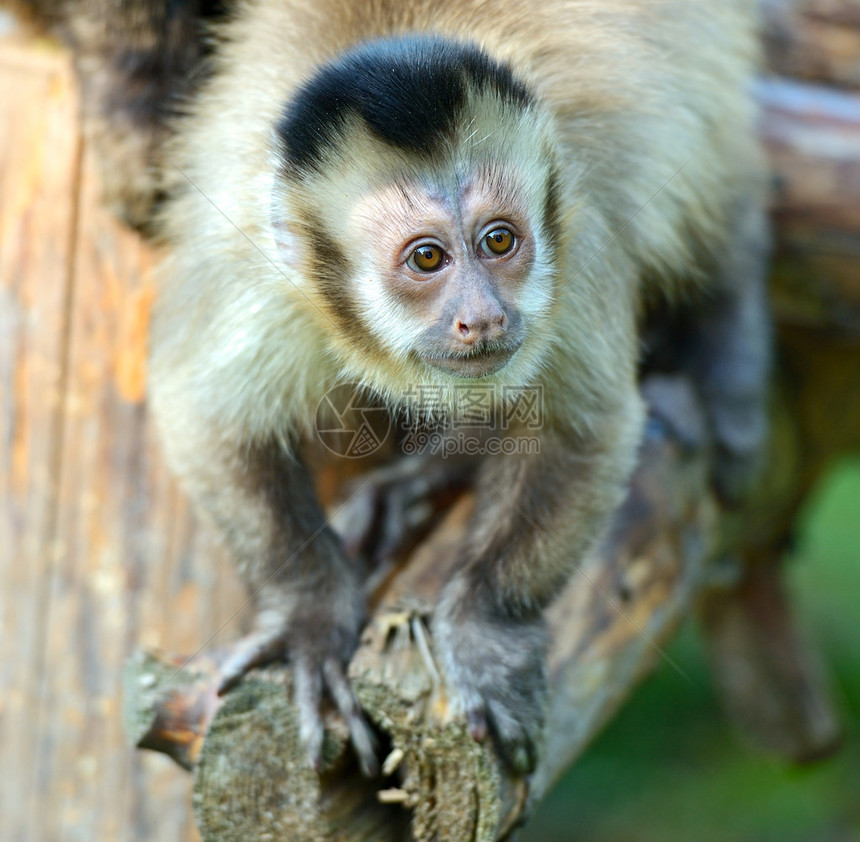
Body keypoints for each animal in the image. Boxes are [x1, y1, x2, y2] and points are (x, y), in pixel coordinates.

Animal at [26, 0, 768, 776]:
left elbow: (584, 429)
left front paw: (485, 629)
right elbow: (207, 414)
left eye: (500, 241)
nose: (484, 317)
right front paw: (310, 616)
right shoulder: (255, 261)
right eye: (427, 259)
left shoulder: (581, 236)